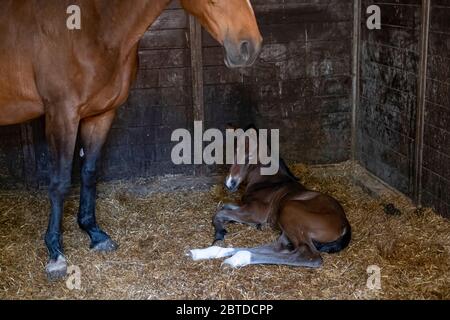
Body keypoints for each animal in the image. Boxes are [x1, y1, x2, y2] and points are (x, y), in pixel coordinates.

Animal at [188, 126, 350, 268]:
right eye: (234, 152)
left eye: (249, 157)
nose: (230, 184)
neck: (268, 181)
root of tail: (345, 224)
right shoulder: (246, 206)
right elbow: (224, 206)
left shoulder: (257, 212)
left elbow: (220, 212)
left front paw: (219, 235)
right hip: (287, 230)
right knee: (279, 247)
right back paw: (203, 253)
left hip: (289, 210)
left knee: (308, 255)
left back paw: (237, 259)